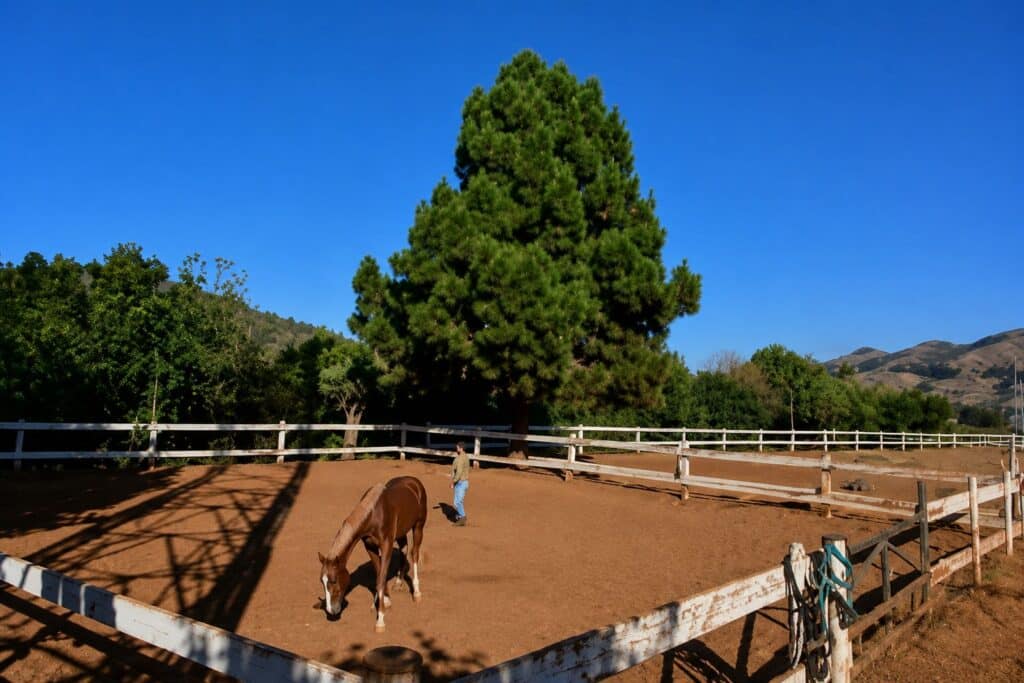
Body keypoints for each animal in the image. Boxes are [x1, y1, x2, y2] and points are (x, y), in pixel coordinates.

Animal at [317, 476, 427, 632]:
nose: (331, 610)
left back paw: (417, 593)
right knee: (403, 550)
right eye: (322, 581)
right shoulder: (370, 547)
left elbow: (381, 578)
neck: (374, 514)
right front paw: (386, 601)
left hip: (418, 526)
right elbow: (379, 572)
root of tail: (414, 481)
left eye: (334, 580)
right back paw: (398, 583)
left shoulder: (386, 545)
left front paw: (380, 620)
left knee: (414, 554)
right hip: (401, 532)